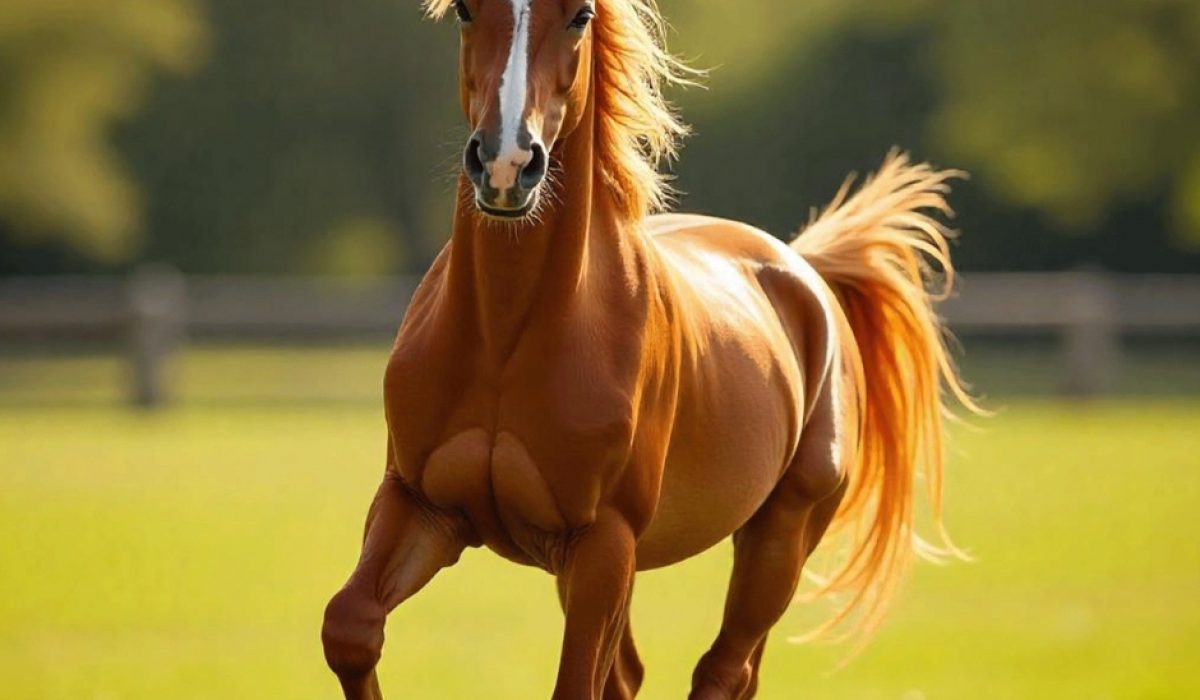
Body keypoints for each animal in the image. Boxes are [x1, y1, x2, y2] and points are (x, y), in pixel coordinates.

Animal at [321, 1, 979, 698]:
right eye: (467, 11)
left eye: (581, 15)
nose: (504, 165)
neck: (508, 339)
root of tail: (804, 269)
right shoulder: (422, 505)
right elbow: (350, 627)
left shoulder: (603, 541)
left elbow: (575, 684)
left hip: (781, 534)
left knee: (724, 670)